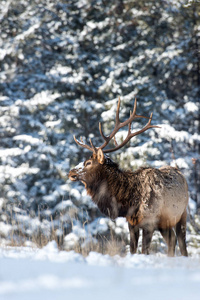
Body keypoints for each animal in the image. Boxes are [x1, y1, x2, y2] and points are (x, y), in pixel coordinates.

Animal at [68, 98, 188, 255]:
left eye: (88, 162)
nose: (71, 172)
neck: (129, 201)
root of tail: (181, 174)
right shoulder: (131, 223)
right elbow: (132, 250)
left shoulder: (149, 222)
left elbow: (144, 251)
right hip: (165, 223)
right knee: (172, 240)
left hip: (182, 214)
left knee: (181, 243)